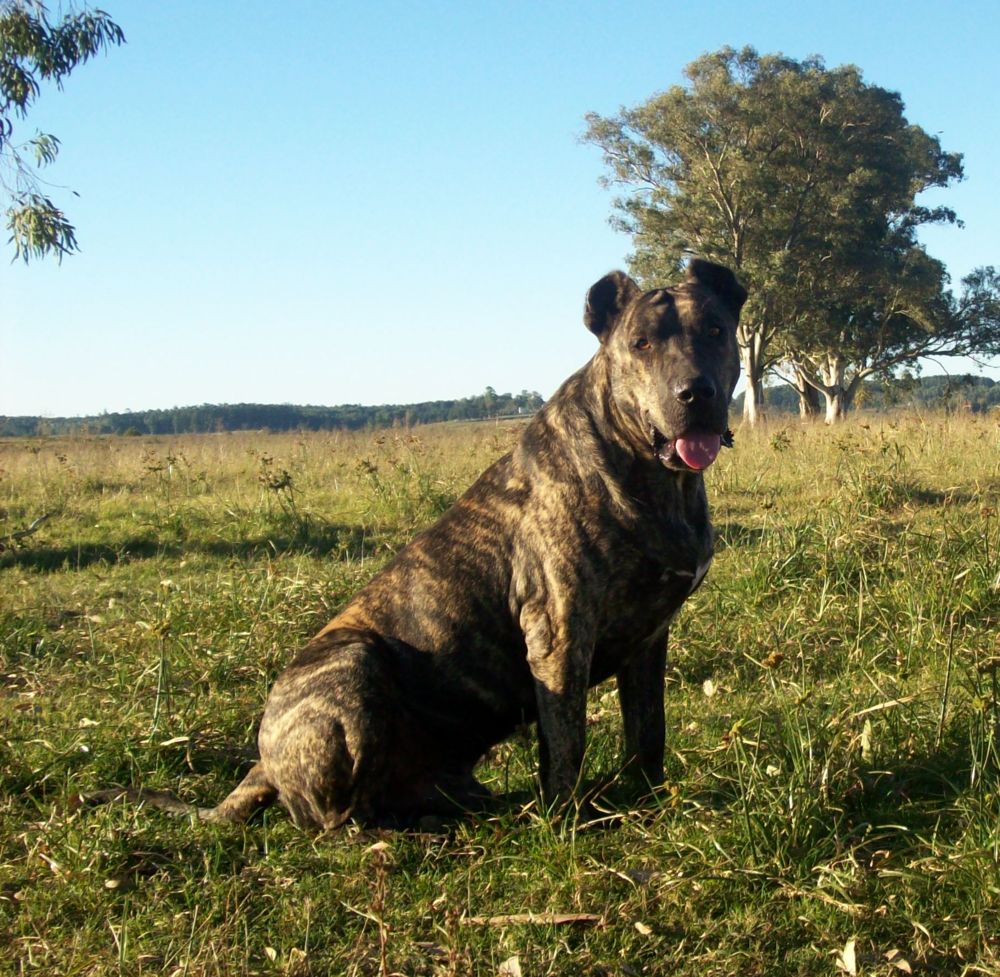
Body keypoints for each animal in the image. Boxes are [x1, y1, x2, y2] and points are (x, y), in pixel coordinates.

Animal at [92, 258, 744, 824]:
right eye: (642, 344)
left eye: (716, 331)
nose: (695, 393)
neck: (650, 473)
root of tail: (263, 765)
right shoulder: (558, 634)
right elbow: (565, 745)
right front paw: (568, 822)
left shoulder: (649, 638)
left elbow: (648, 731)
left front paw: (650, 797)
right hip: (353, 666)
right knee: (336, 819)